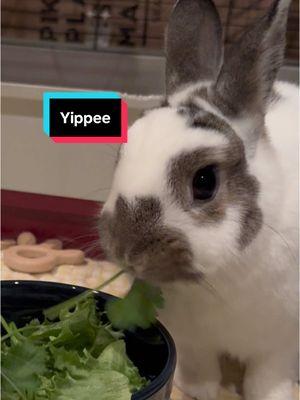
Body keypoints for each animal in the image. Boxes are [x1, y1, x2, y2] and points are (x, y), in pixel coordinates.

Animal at [99, 0, 298, 398]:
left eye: (204, 181)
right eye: (121, 155)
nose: (126, 250)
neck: (222, 278)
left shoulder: (282, 342)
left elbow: (268, 376)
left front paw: (273, 395)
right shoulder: (192, 340)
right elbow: (201, 368)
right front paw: (198, 390)